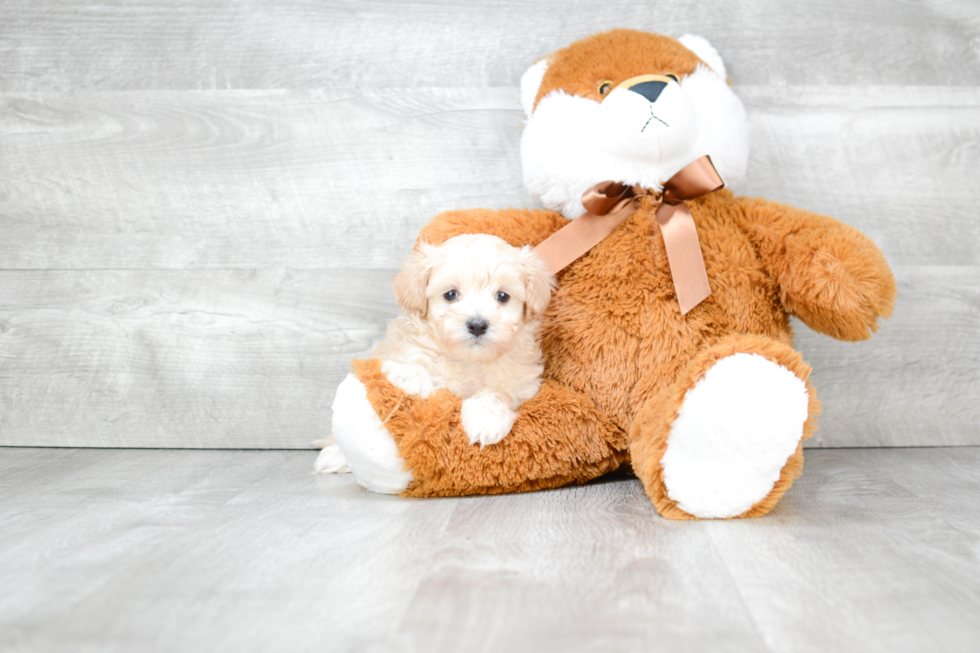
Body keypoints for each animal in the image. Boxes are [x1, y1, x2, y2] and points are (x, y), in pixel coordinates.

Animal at [378, 234, 556, 448]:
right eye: (450, 294)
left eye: (502, 296)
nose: (477, 325)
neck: (469, 360)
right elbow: (414, 356)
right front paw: (408, 374)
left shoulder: (521, 383)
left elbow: (497, 391)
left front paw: (486, 417)